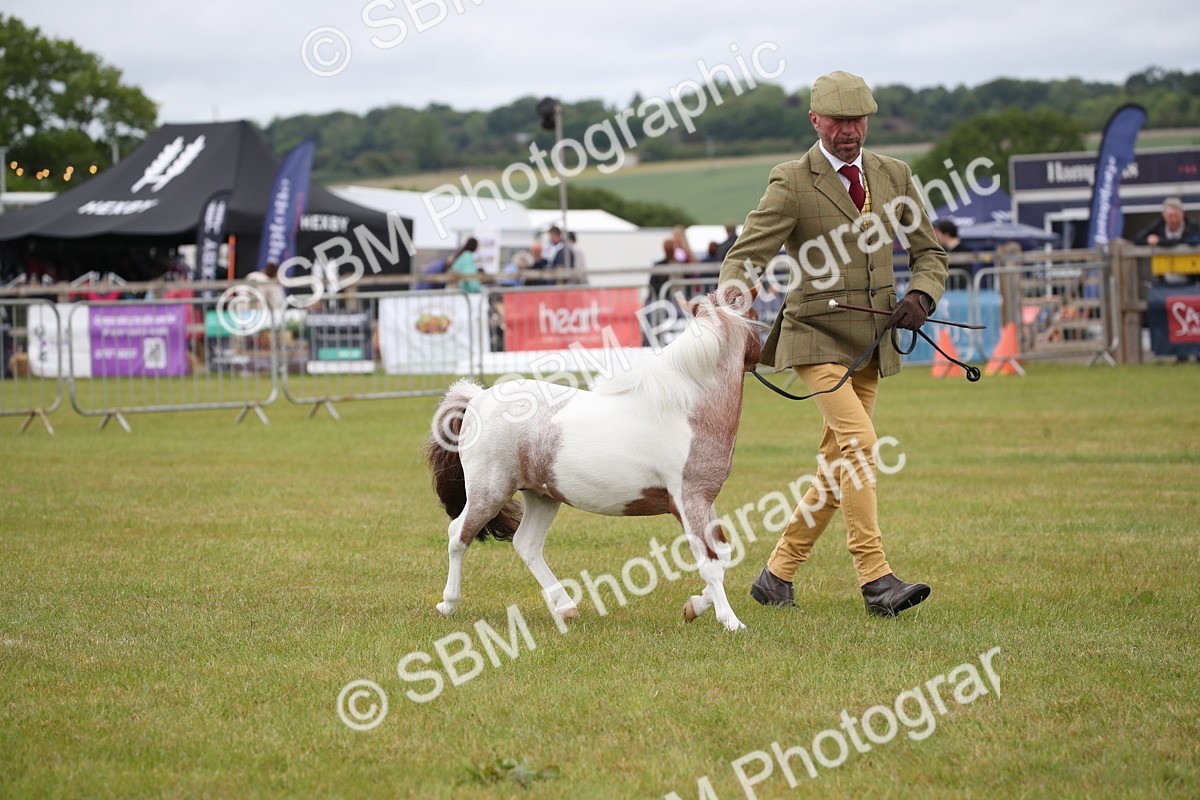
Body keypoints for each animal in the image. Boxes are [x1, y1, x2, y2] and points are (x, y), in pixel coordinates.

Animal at [423, 285, 762, 632]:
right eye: (756, 316)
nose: (763, 357)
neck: (685, 410)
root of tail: (477, 398)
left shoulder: (705, 502)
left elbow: (724, 552)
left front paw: (694, 606)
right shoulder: (688, 500)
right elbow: (710, 563)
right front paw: (731, 621)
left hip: (542, 495)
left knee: (526, 544)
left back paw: (565, 607)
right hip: (488, 492)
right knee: (458, 536)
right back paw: (448, 604)